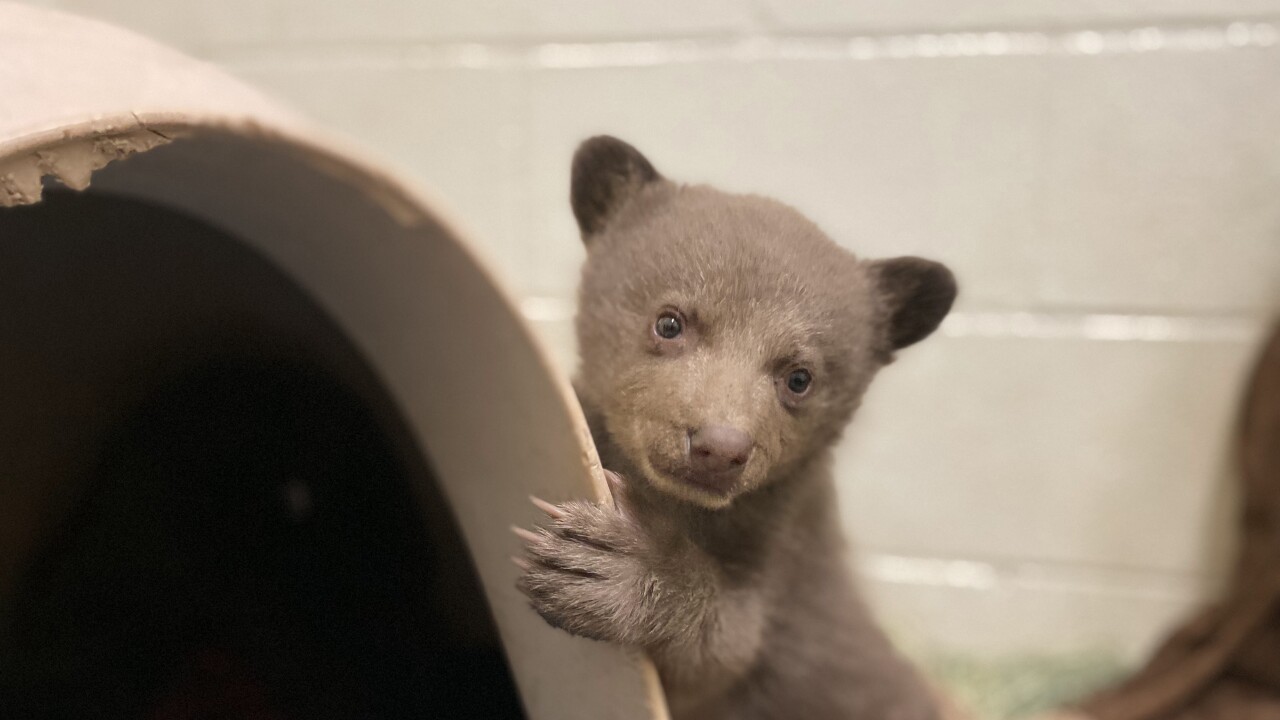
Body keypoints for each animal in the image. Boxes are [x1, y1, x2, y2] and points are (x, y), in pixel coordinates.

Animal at [514, 136, 957, 720]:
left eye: (799, 377)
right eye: (670, 322)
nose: (720, 447)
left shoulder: (782, 557)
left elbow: (724, 652)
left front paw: (608, 567)